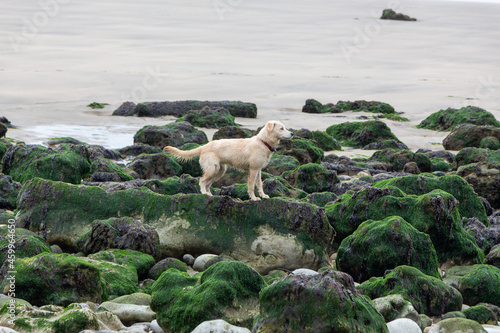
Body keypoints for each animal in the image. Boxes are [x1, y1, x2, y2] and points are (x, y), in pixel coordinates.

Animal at [163, 121, 292, 200]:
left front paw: (264, 195)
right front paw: (254, 198)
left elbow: (259, 184)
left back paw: (210, 194)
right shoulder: (253, 170)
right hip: (212, 169)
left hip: (219, 171)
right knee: (202, 181)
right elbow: (251, 186)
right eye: (281, 128)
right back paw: (204, 193)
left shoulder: (258, 170)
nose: (292, 133)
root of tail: (204, 147)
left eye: (284, 127)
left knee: (208, 183)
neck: (263, 142)